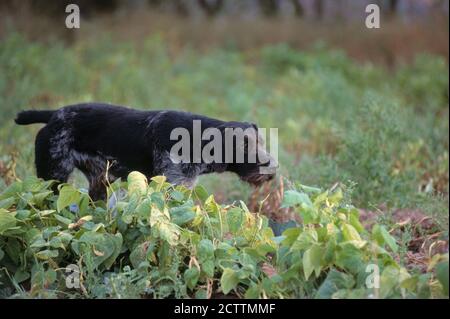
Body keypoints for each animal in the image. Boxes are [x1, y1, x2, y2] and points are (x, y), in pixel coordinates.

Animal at [14, 104, 276, 201]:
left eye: (261, 142)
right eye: (242, 146)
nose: (273, 168)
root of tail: (54, 114)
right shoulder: (173, 185)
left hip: (100, 184)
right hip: (53, 179)